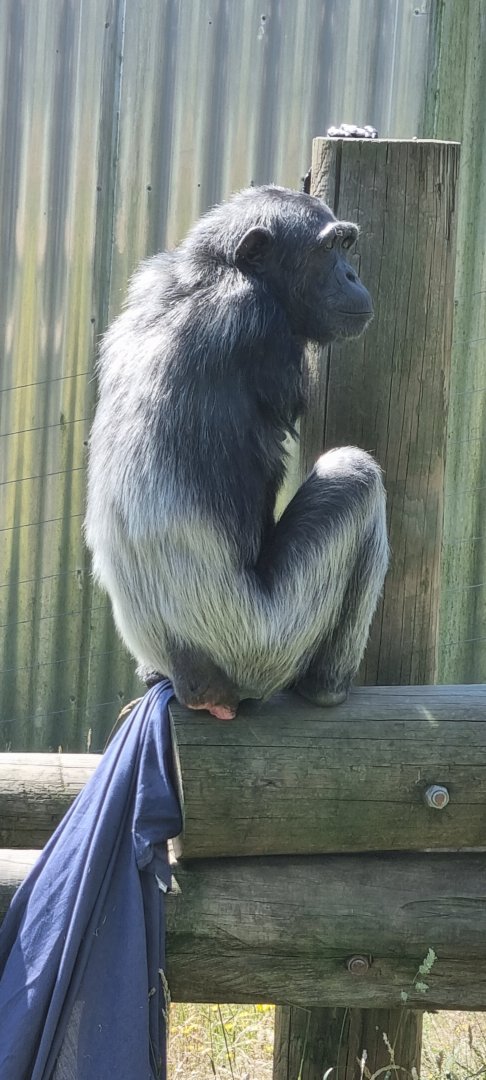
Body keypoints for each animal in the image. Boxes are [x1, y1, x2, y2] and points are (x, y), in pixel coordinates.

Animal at [85, 185, 389, 720]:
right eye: (329, 248)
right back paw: (326, 688)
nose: (352, 275)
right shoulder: (266, 332)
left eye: (345, 245)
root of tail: (195, 686)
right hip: (263, 646)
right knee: (354, 472)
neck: (212, 271)